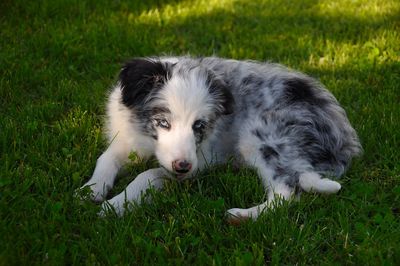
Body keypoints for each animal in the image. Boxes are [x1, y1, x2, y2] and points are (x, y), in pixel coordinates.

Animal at [79, 56, 362, 222]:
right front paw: (91, 189)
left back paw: (243, 215)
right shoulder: (126, 139)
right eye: (163, 123)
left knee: (287, 192)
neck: (148, 142)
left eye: (199, 125)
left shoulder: (199, 161)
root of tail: (345, 139)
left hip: (262, 136)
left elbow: (148, 174)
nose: (182, 167)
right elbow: (106, 158)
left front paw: (116, 205)